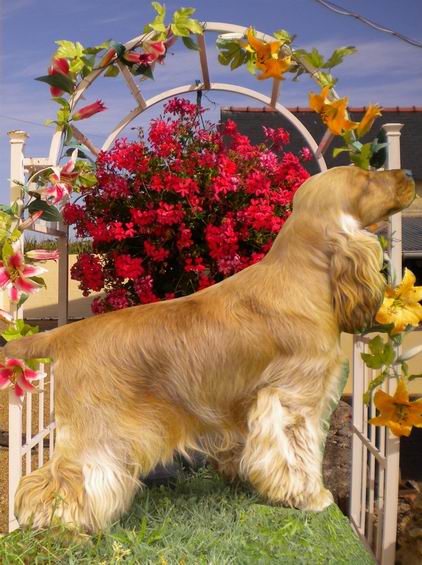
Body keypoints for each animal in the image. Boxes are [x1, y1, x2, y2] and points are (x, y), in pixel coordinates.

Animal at [4, 166, 415, 532]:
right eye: (366, 179)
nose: (409, 175)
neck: (303, 277)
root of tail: (66, 334)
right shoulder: (293, 401)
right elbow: (299, 457)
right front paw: (312, 497)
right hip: (97, 429)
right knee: (57, 480)